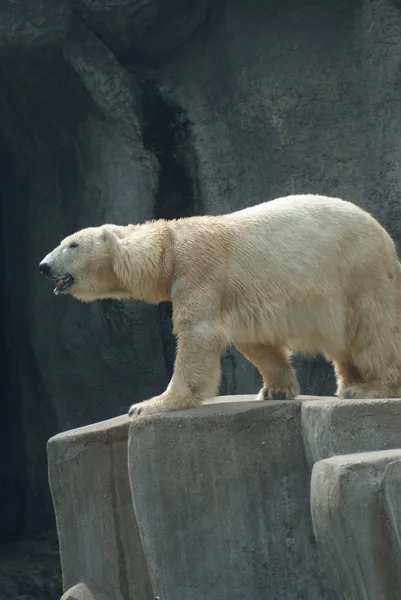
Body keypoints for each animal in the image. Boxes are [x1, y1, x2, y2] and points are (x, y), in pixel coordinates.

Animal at [39, 196, 400, 418]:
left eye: (73, 244)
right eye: (63, 242)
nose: (43, 266)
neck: (168, 249)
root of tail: (384, 237)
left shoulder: (198, 269)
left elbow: (198, 334)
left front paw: (149, 404)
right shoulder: (236, 294)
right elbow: (252, 339)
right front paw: (276, 389)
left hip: (358, 268)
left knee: (374, 329)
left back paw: (370, 388)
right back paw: (349, 382)